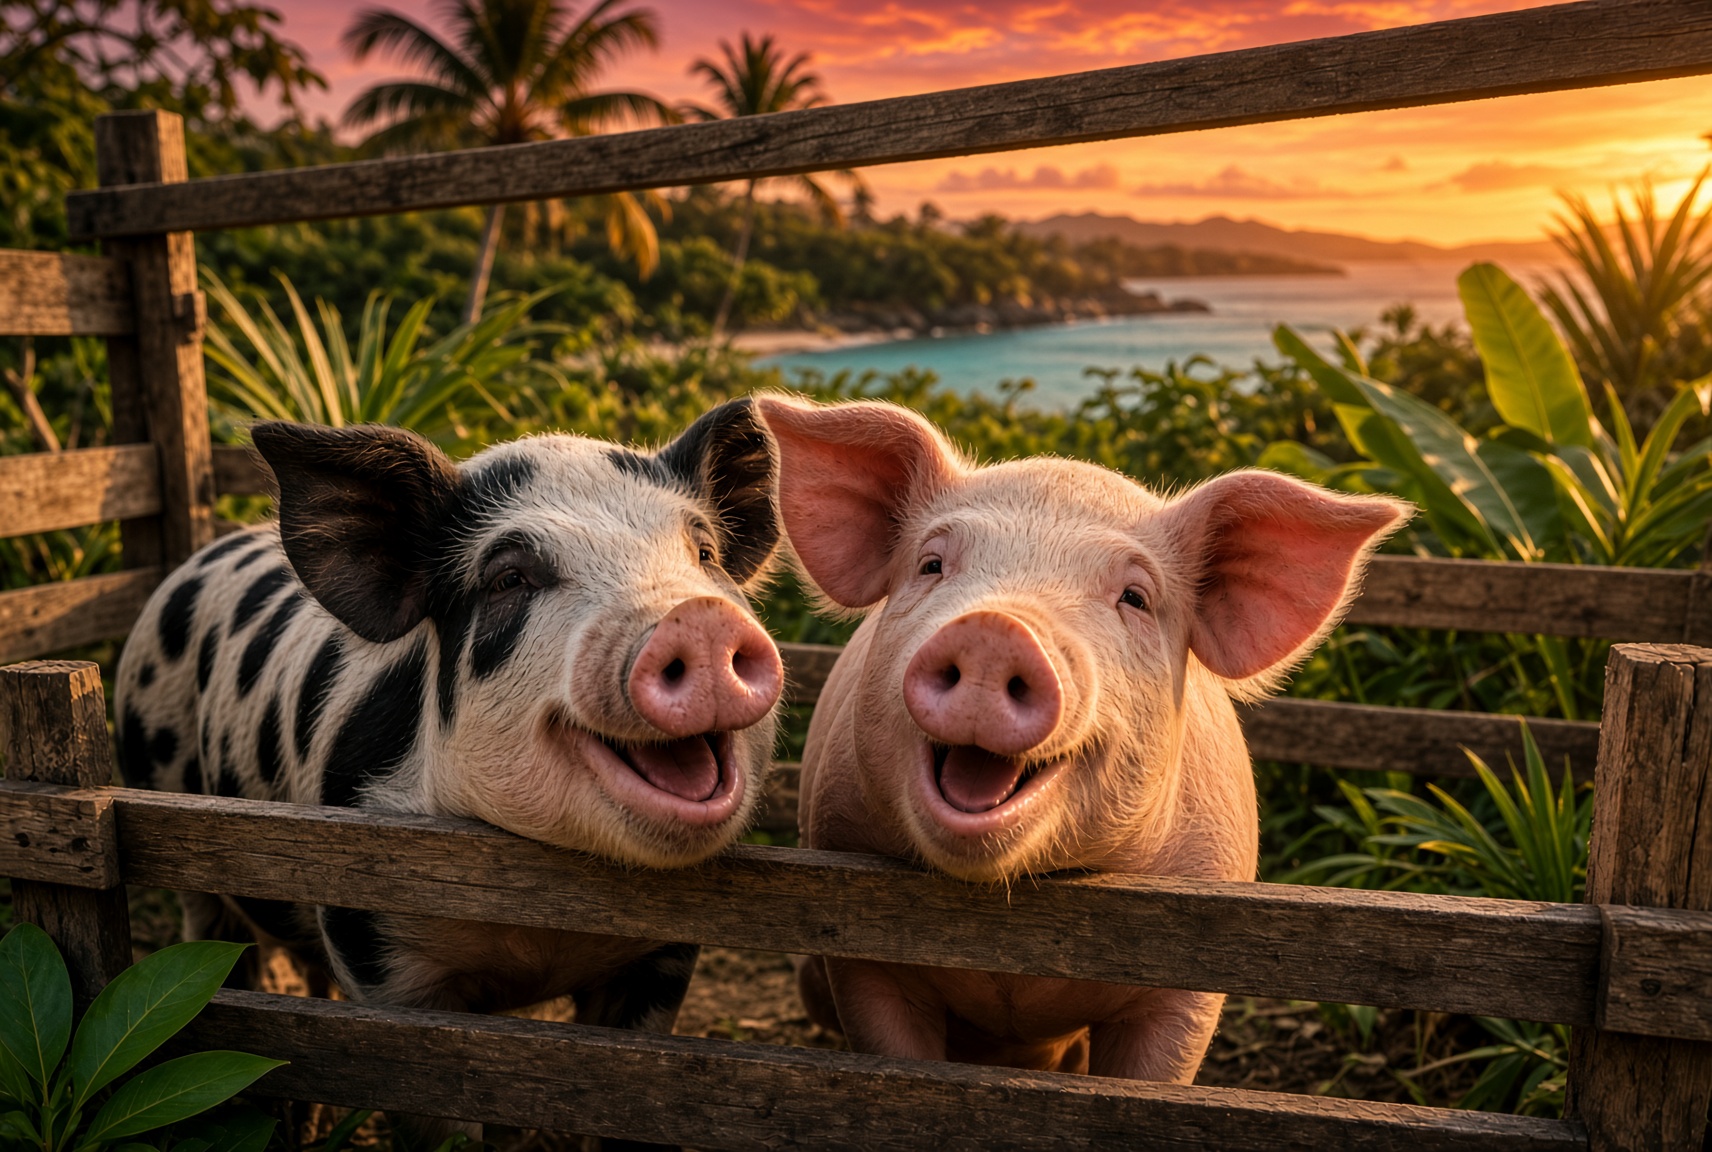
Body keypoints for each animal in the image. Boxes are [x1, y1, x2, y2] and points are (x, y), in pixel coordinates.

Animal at [115, 400, 783, 1041]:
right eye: (508, 578)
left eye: (704, 554)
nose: (698, 617)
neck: (546, 926)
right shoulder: (373, 941)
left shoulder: (663, 960)